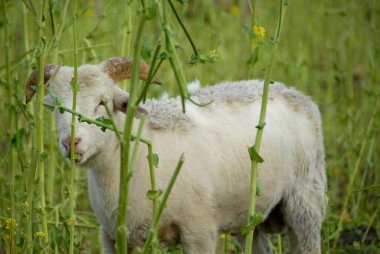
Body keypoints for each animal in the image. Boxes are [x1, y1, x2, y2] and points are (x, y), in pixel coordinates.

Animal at [26, 57, 326, 254]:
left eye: (104, 103)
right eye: (56, 107)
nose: (71, 143)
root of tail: (290, 91)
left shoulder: (199, 232)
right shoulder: (111, 236)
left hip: (306, 201)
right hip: (248, 218)